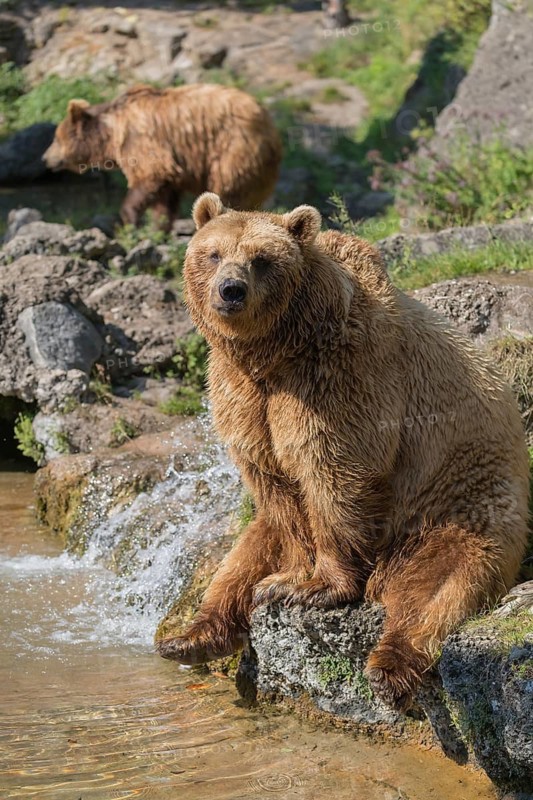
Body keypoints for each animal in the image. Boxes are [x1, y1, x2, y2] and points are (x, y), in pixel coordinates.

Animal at [43, 84, 282, 229]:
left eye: (56, 138)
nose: (45, 158)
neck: (111, 132)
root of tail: (271, 128)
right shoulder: (174, 167)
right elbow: (166, 197)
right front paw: (159, 228)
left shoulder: (140, 140)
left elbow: (150, 176)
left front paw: (130, 220)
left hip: (232, 151)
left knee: (228, 189)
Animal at [157, 192, 530, 710]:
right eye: (212, 253)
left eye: (261, 259)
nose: (231, 290)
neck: (275, 351)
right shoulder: (245, 400)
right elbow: (276, 488)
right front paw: (286, 580)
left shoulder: (340, 378)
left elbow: (334, 475)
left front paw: (317, 587)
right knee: (242, 555)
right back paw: (189, 636)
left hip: (456, 504)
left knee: (441, 585)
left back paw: (388, 670)